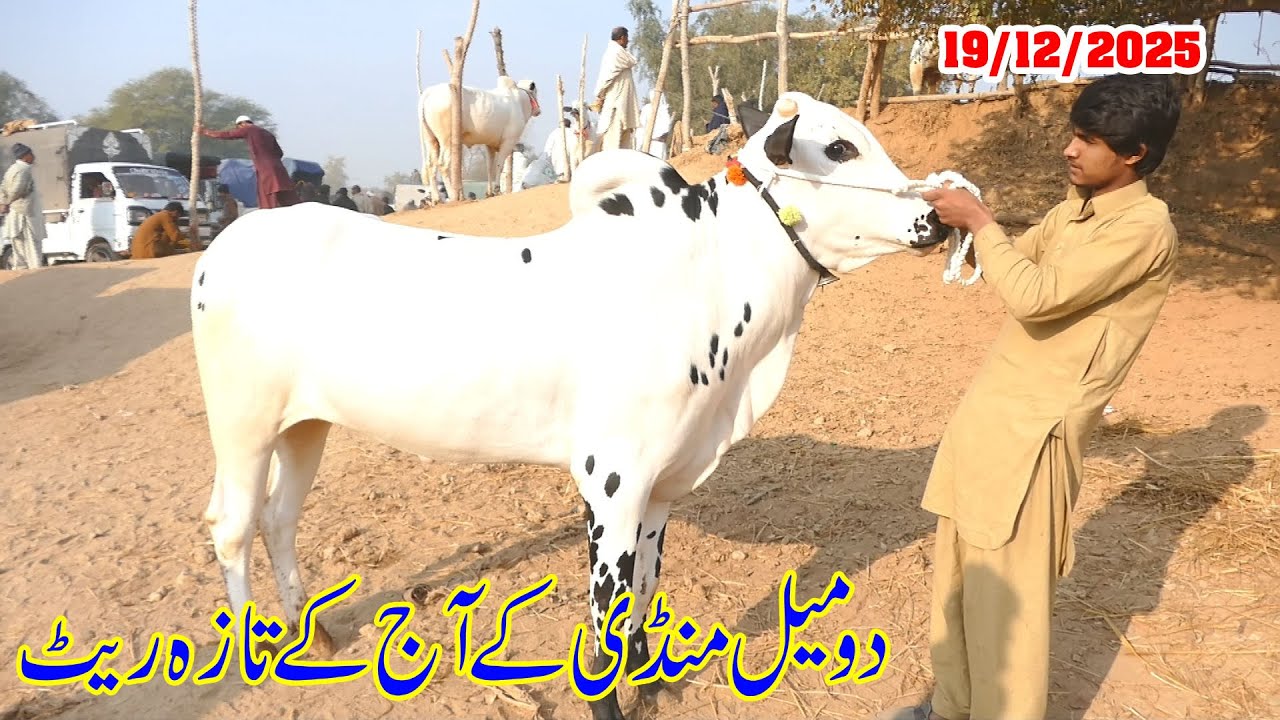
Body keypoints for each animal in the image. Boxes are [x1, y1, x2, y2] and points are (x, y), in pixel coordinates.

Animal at [191, 91, 953, 720]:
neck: (707, 275)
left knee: (279, 517)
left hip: (304, 425)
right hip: (242, 423)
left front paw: (649, 681)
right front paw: (610, 701)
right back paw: (254, 652)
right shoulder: (611, 478)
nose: (934, 216)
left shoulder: (662, 484)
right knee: (232, 524)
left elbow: (645, 591)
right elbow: (607, 610)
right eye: (840, 148)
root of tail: (225, 245)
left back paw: (305, 631)